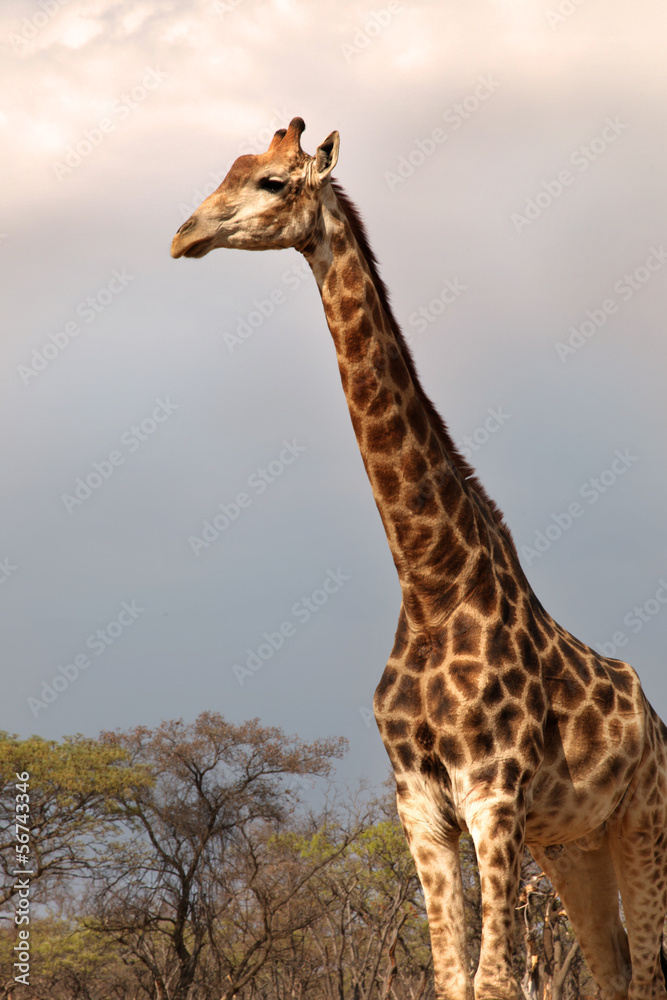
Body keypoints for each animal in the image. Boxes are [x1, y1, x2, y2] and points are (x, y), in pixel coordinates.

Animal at [171, 117, 667, 1000]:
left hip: (641, 822)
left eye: (271, 183)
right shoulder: (421, 806)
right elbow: (451, 978)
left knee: (645, 971)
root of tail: (655, 723)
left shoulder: (492, 796)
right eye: (228, 169)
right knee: (610, 971)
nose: (183, 235)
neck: (433, 584)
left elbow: (494, 980)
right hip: (573, 843)